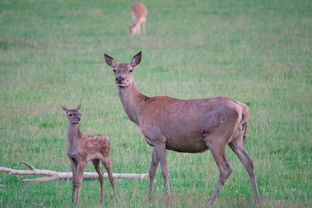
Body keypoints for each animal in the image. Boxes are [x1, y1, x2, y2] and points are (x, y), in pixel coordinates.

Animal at [103, 51, 260, 206]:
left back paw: (209, 201)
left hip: (216, 138)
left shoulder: (159, 138)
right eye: (114, 69)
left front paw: (168, 199)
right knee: (249, 163)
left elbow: (164, 171)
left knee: (226, 168)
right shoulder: (154, 141)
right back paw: (257, 200)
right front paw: (149, 199)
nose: (120, 78)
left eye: (131, 69)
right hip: (236, 138)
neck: (141, 111)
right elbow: (151, 170)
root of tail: (243, 109)